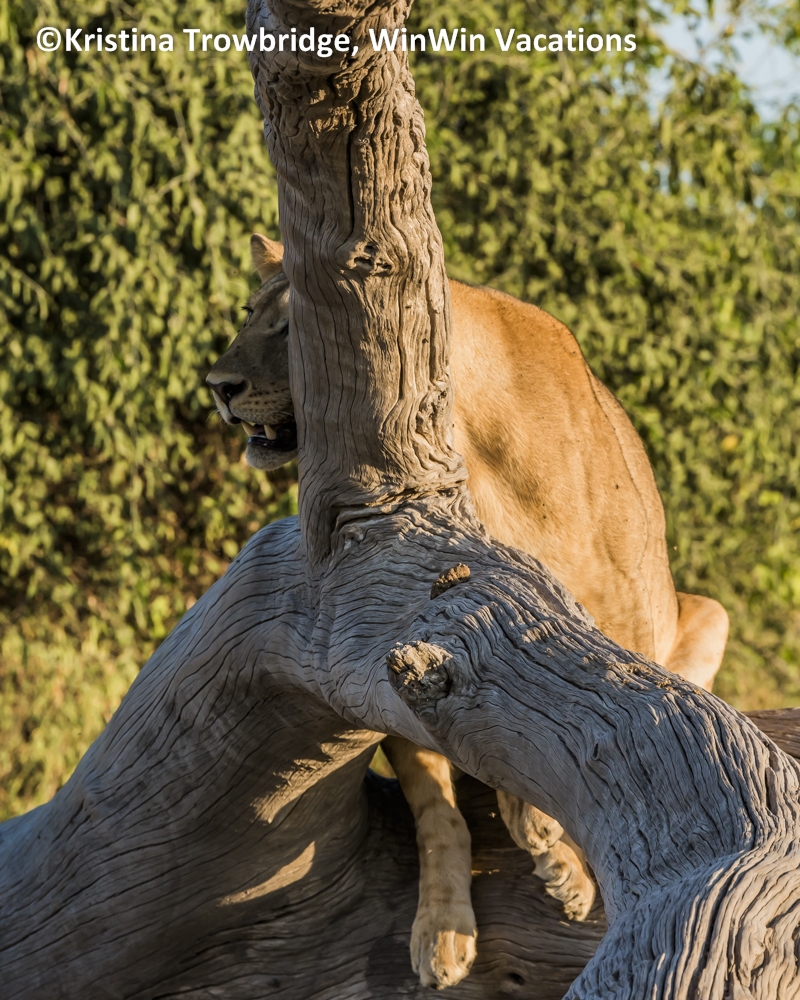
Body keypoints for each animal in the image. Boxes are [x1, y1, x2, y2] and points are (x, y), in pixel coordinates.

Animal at [207, 234, 729, 989]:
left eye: (294, 327)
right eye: (250, 315)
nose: (217, 386)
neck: (476, 449)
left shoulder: (628, 628)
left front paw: (556, 853)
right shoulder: (382, 638)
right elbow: (437, 807)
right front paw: (442, 932)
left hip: (707, 612)